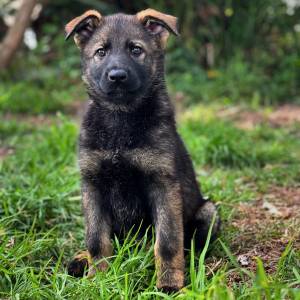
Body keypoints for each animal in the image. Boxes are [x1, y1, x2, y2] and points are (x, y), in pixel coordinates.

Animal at [66, 8, 220, 290]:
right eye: (101, 52)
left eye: (136, 50)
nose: (117, 76)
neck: (121, 117)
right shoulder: (92, 184)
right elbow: (96, 238)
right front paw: (98, 278)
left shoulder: (162, 185)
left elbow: (168, 241)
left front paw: (169, 284)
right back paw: (82, 259)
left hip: (208, 211)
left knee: (191, 245)